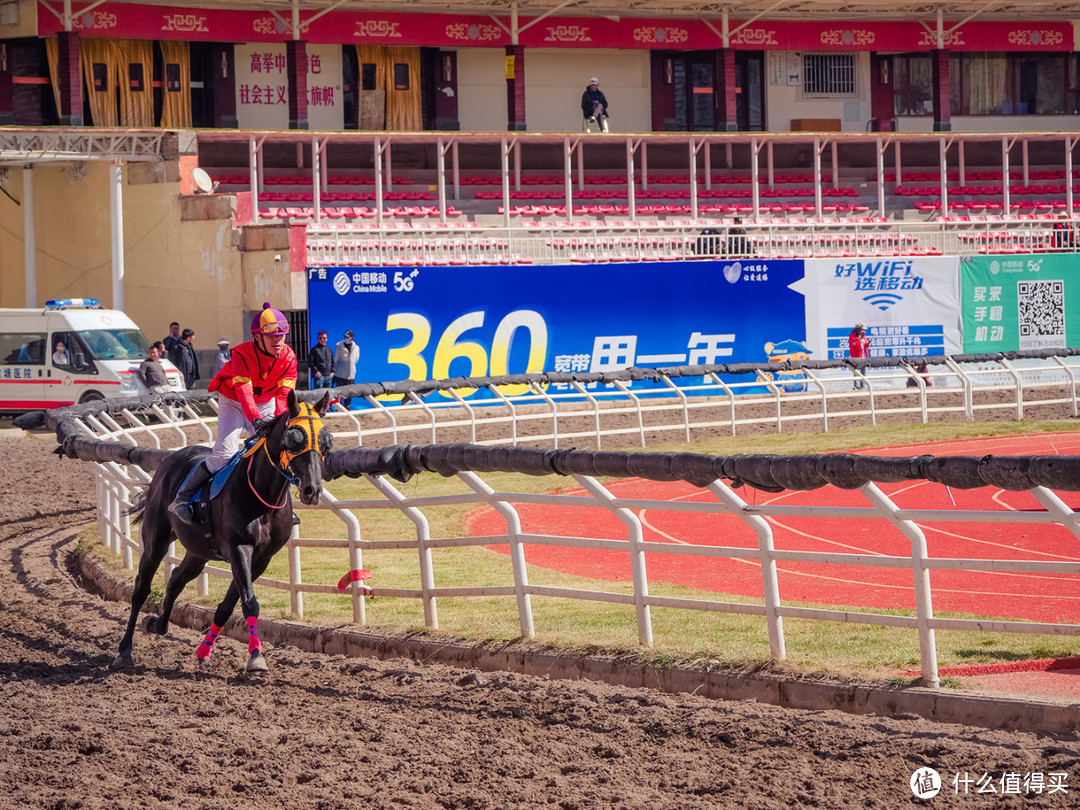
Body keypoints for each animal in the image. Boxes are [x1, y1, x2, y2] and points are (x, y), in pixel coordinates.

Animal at [112, 390, 332, 673]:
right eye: (293, 440)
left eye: (326, 441)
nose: (312, 490)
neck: (263, 497)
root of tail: (170, 459)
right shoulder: (239, 548)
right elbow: (249, 602)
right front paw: (256, 657)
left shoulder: (262, 557)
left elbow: (228, 606)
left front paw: (205, 651)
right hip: (156, 541)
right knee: (141, 589)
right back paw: (124, 650)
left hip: (198, 552)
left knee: (176, 580)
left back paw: (158, 624)